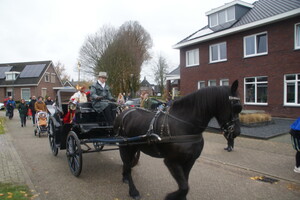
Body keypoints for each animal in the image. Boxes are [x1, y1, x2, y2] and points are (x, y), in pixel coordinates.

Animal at [113, 79, 243, 200]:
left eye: (240, 108)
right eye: (235, 107)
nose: (237, 131)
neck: (185, 126)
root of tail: (123, 112)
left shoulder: (190, 161)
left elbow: (185, 183)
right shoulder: (172, 162)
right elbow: (184, 187)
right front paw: (171, 196)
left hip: (134, 147)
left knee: (127, 164)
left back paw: (125, 178)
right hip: (126, 147)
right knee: (128, 166)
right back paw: (133, 191)